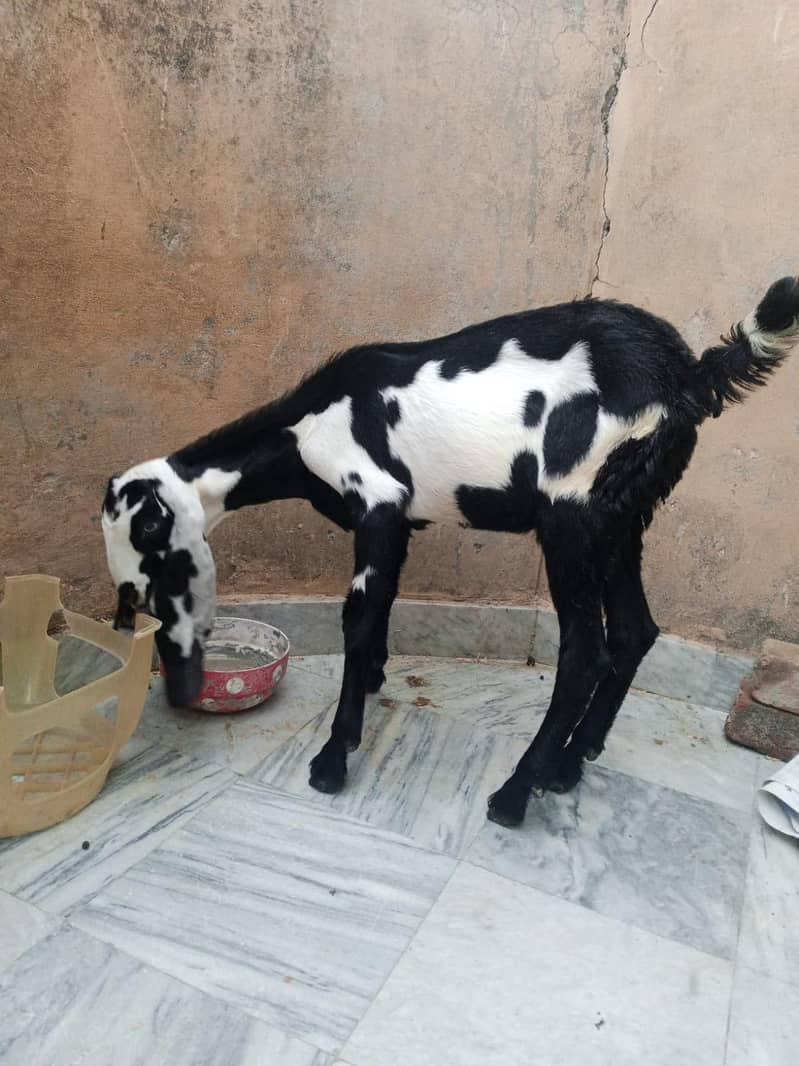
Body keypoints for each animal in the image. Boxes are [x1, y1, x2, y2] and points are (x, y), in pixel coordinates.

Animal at [102, 276, 799, 827]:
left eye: (153, 560)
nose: (128, 622)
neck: (304, 427)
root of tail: (686, 376)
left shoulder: (377, 503)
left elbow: (358, 619)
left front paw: (333, 756)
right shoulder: (400, 524)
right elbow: (383, 606)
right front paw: (374, 681)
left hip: (571, 517)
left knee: (585, 652)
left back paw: (516, 793)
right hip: (624, 518)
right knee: (635, 630)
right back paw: (570, 764)